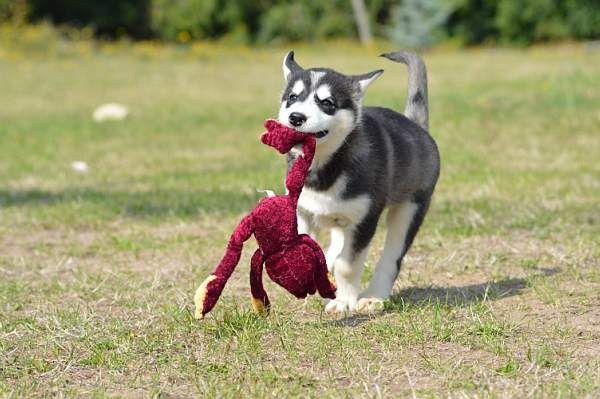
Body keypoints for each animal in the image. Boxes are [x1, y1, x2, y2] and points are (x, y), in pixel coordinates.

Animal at [278, 50, 440, 312]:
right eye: (292, 97)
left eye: (327, 103)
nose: (296, 117)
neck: (322, 167)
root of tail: (417, 126)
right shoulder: (302, 211)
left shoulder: (365, 220)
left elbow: (347, 265)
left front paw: (344, 301)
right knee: (335, 247)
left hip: (409, 209)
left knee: (391, 257)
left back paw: (374, 296)